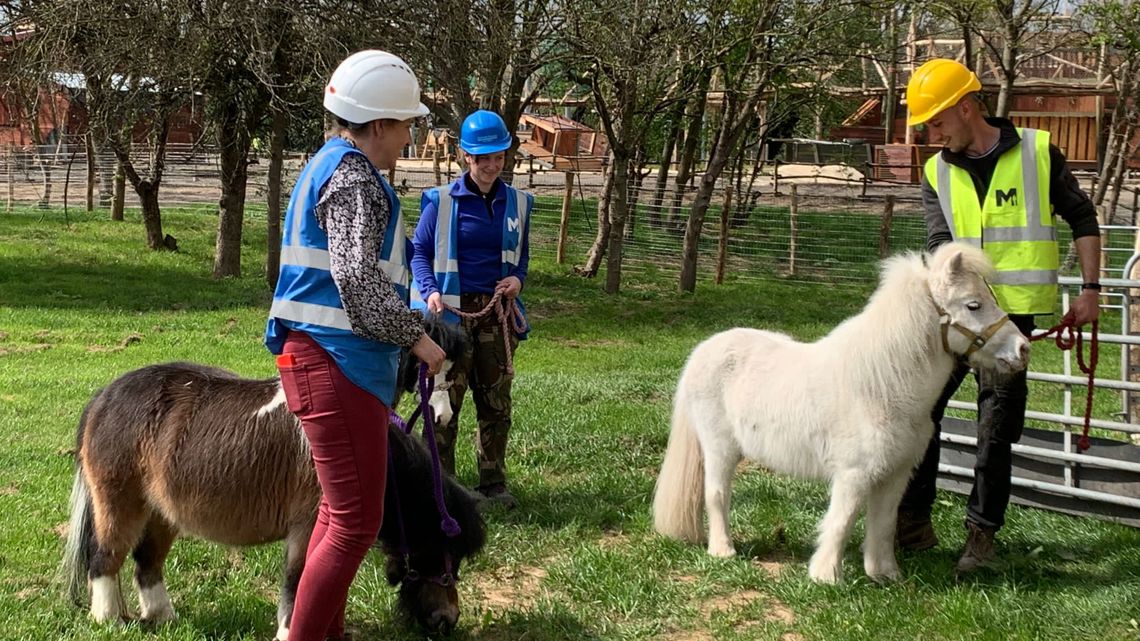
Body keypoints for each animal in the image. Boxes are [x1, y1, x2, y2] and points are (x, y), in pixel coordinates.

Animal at [62, 318, 484, 638]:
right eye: (445, 555)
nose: (448, 620)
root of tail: (105, 395)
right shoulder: (309, 527)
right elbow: (299, 582)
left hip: (162, 512)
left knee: (146, 561)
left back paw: (163, 617)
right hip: (119, 503)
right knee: (105, 557)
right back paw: (110, 619)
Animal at [652, 242, 1030, 584]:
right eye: (973, 304)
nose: (1023, 348)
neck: (882, 386)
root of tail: (704, 350)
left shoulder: (894, 474)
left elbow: (883, 522)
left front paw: (885, 575)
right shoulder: (854, 474)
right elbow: (842, 521)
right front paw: (827, 577)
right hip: (720, 448)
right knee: (716, 493)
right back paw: (723, 550)